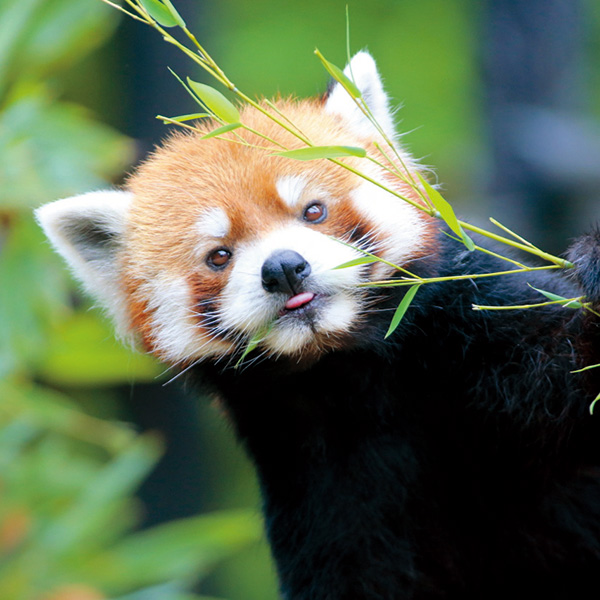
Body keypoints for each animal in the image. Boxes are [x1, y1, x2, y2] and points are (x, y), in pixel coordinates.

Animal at [36, 52, 600, 600]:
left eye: (313, 211)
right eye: (219, 255)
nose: (284, 268)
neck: (351, 377)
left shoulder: (493, 342)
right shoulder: (322, 485)